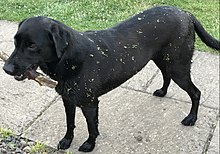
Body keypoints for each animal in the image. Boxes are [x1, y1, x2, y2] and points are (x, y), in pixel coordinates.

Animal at [2, 5, 219, 152]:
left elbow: (92, 127)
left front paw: (89, 144)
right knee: (166, 76)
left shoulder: (90, 104)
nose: (6, 68)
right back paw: (162, 92)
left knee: (196, 92)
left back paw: (191, 118)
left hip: (178, 67)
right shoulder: (67, 100)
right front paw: (66, 140)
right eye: (15, 42)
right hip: (163, 60)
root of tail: (185, 13)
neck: (70, 58)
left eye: (32, 45)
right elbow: (70, 123)